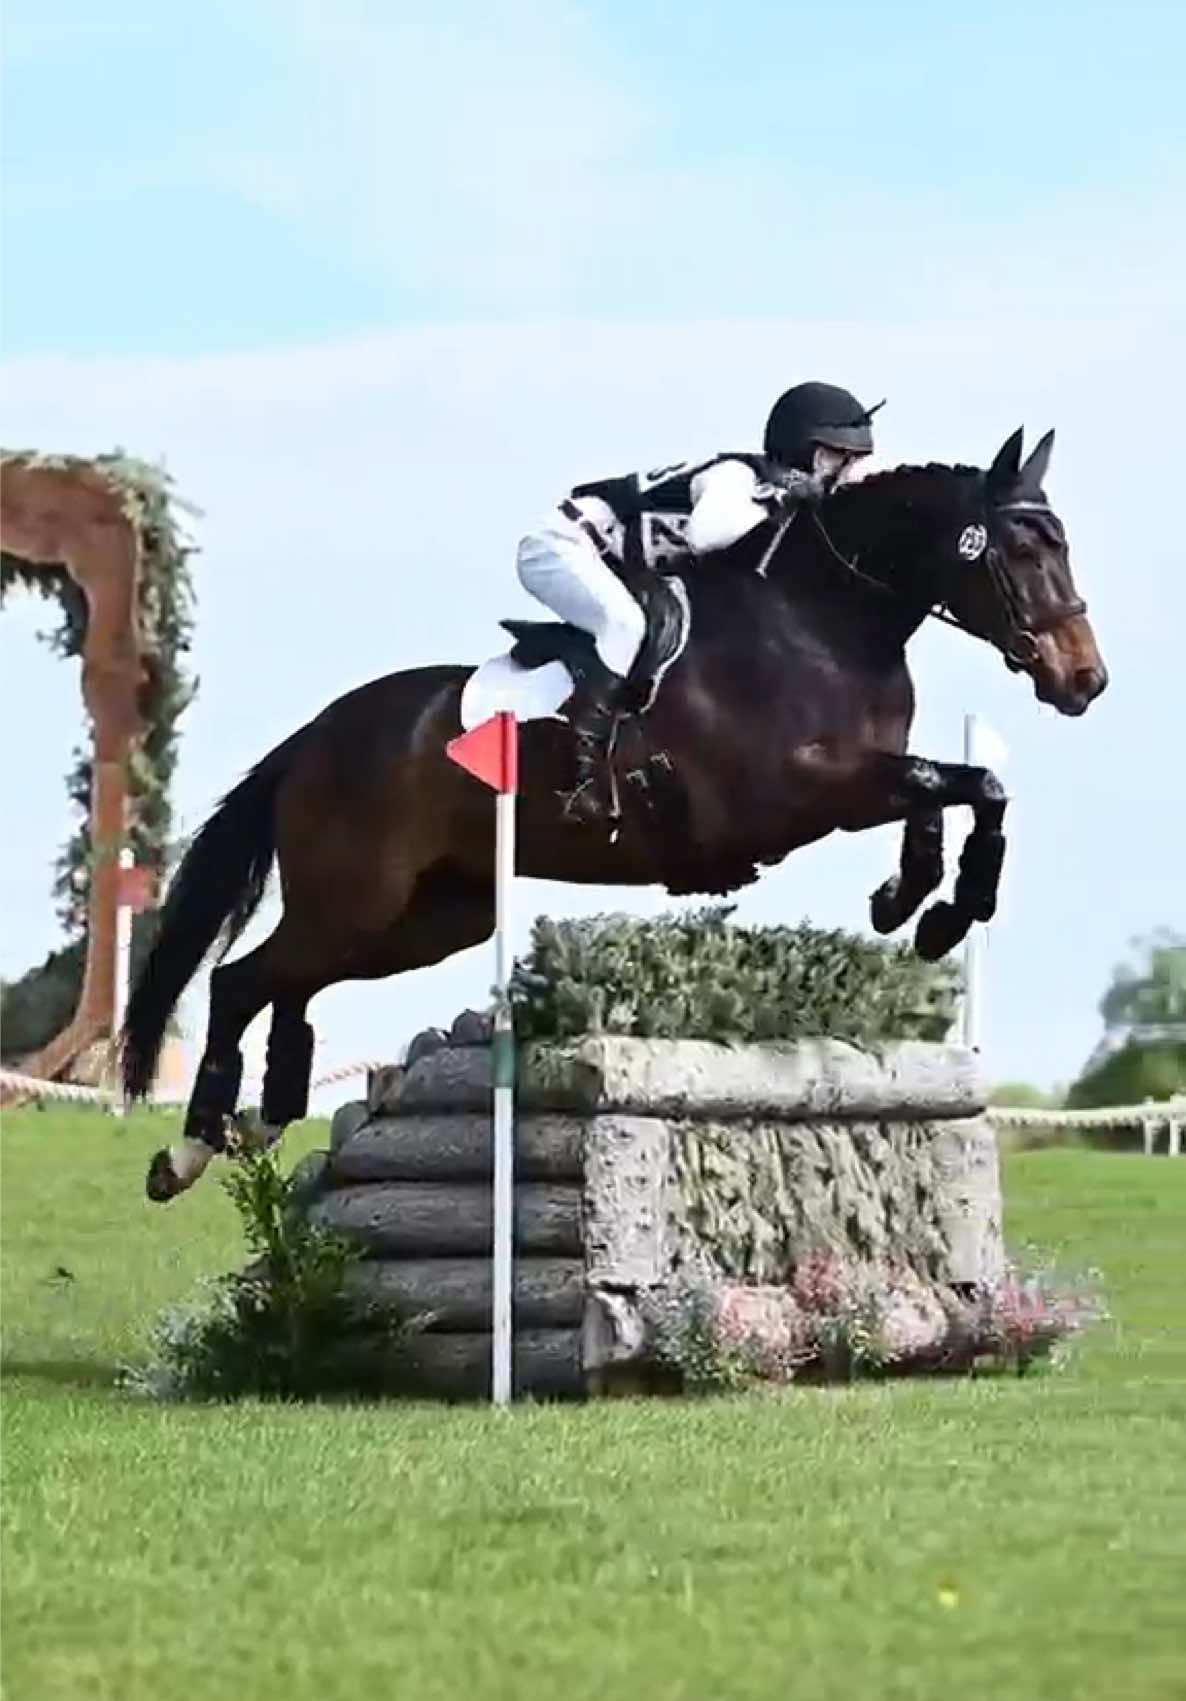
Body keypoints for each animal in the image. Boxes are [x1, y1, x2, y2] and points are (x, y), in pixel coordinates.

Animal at [123, 426, 1107, 1201]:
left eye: (1061, 544)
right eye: (1024, 550)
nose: (1084, 679)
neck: (823, 621)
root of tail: (312, 739)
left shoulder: (862, 782)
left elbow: (955, 792)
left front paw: (916, 904)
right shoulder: (801, 794)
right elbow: (971, 784)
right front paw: (942, 904)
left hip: (430, 916)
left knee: (290, 982)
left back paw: (262, 1118)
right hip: (358, 898)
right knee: (238, 980)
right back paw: (189, 1148)